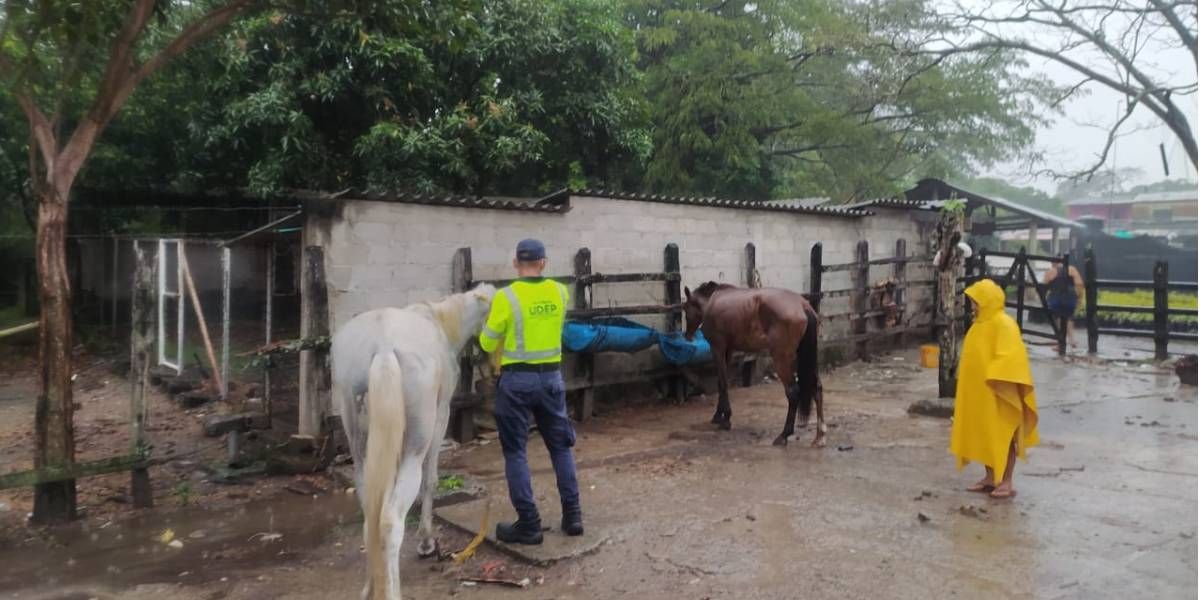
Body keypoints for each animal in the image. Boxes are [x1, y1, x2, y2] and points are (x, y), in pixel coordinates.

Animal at [331, 283, 494, 597]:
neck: (441, 322)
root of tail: (382, 348)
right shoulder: (441, 417)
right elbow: (431, 481)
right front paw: (426, 543)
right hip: (415, 446)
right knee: (390, 520)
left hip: (360, 449)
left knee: (371, 513)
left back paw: (371, 585)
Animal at [686, 280, 825, 446]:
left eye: (685, 308)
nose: (687, 335)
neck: (712, 301)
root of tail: (803, 306)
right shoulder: (728, 350)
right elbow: (721, 382)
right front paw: (719, 415)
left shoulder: (717, 348)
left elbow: (723, 384)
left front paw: (725, 419)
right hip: (802, 357)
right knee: (817, 388)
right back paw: (820, 436)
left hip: (782, 359)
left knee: (793, 392)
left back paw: (784, 434)